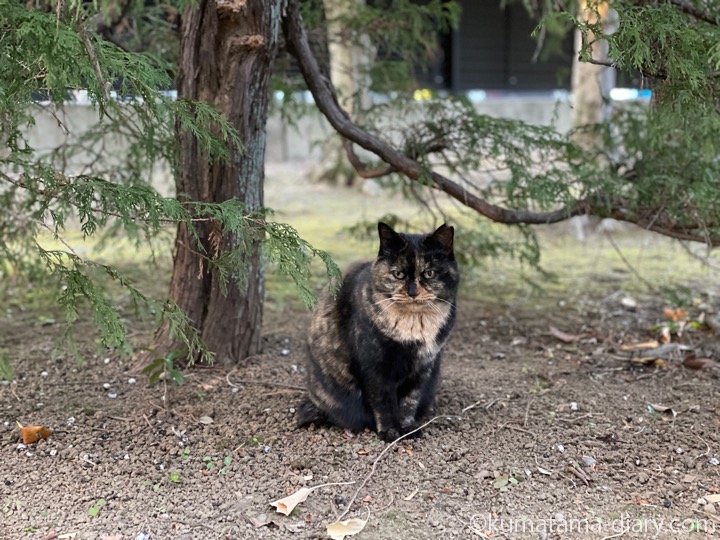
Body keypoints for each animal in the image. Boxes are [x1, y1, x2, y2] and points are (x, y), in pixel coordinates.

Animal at [300, 221, 462, 440]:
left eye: (429, 273)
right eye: (398, 274)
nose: (412, 292)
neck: (414, 326)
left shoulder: (422, 367)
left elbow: (410, 401)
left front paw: (408, 428)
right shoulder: (375, 368)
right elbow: (383, 403)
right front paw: (389, 432)